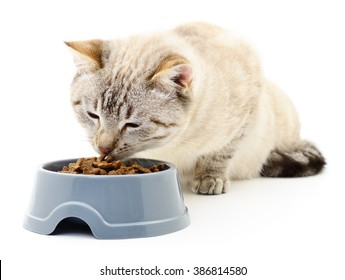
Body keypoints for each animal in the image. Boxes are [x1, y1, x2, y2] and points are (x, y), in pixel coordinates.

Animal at [65, 22, 326, 195]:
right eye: (93, 115)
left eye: (132, 124)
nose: (103, 148)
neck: (171, 143)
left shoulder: (245, 115)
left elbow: (220, 153)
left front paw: (210, 179)